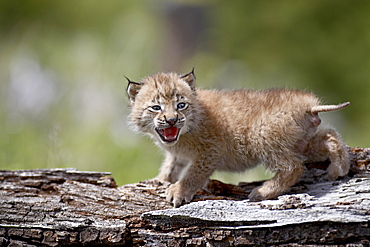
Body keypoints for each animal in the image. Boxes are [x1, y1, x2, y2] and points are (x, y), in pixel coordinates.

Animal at [126, 70, 350, 207]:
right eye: (156, 107)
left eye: (181, 105)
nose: (172, 120)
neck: (183, 134)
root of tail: (308, 105)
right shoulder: (178, 154)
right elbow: (171, 167)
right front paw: (160, 180)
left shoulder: (211, 151)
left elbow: (194, 173)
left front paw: (179, 191)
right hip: (301, 141)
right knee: (330, 136)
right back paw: (339, 169)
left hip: (263, 137)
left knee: (293, 167)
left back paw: (262, 192)